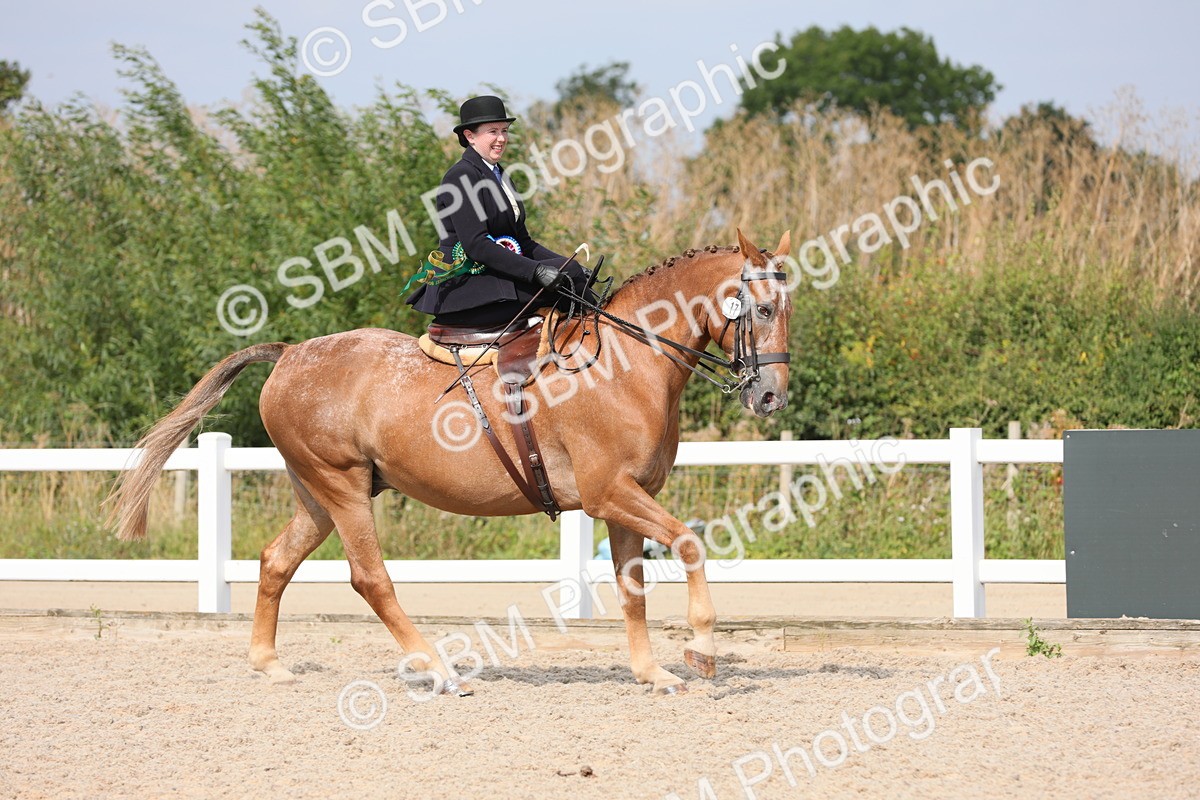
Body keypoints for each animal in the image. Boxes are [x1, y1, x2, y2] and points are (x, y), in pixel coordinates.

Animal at [107, 229, 792, 696]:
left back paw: (270, 664)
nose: (771, 397)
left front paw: (653, 673)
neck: (625, 364)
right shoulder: (611, 493)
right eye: (761, 310)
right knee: (370, 578)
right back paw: (438, 670)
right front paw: (701, 651)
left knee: (276, 560)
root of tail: (290, 353)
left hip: (319, 493)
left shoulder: (624, 501)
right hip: (342, 486)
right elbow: (690, 544)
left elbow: (632, 589)